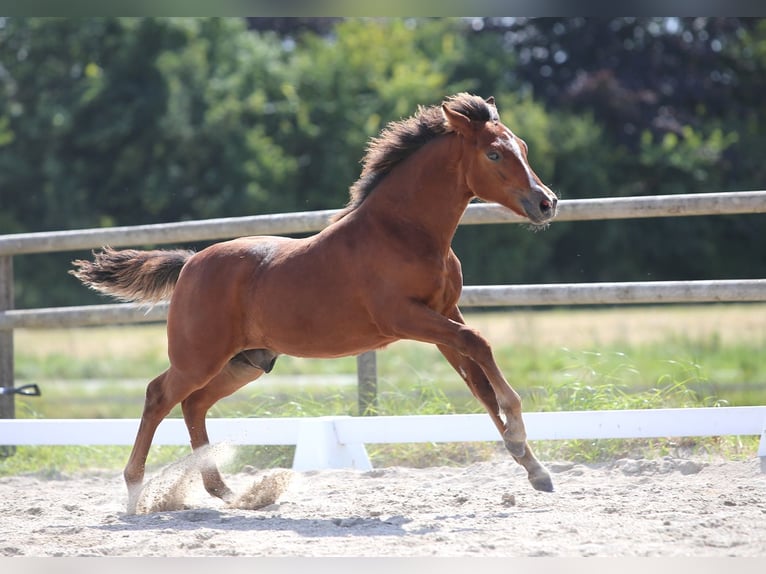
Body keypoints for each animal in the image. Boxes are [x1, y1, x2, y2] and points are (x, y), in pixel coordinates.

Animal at [72, 93, 560, 512]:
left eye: (523, 147)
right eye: (494, 155)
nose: (547, 202)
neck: (403, 233)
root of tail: (190, 263)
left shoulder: (442, 316)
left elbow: (478, 382)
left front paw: (534, 467)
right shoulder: (405, 318)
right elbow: (479, 344)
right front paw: (519, 431)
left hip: (247, 362)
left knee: (194, 405)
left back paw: (226, 491)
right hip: (199, 358)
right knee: (159, 396)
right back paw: (136, 492)